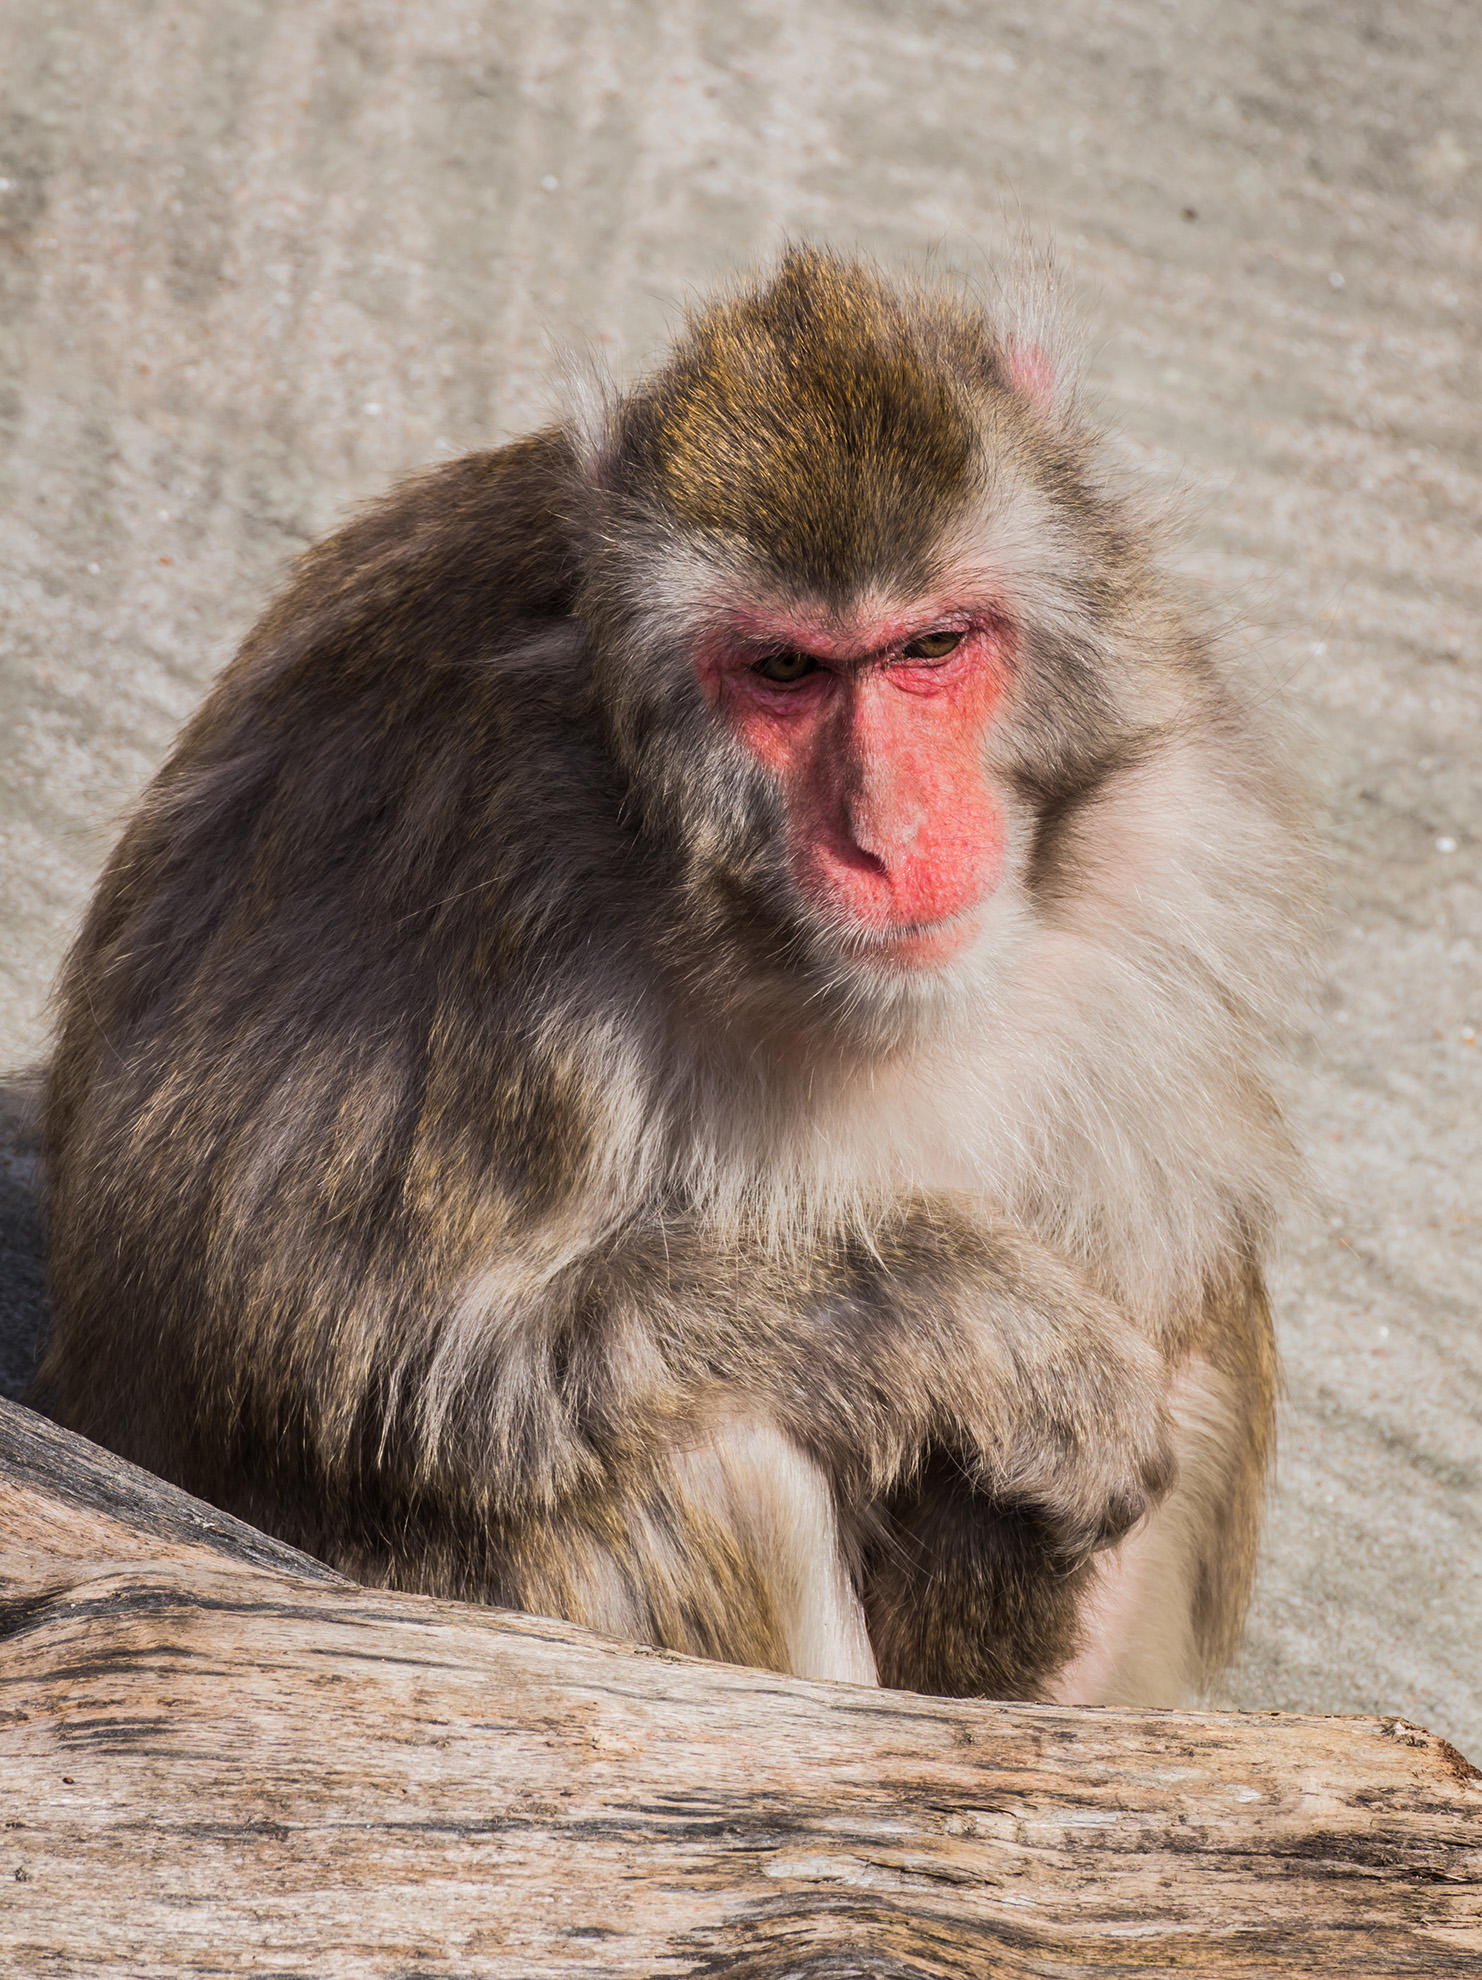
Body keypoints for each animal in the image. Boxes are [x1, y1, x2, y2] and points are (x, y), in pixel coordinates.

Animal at [37, 247, 1307, 1702]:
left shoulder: (1158, 860)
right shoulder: (479, 885)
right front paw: (963, 1315)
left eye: (931, 649)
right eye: (782, 671)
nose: (887, 839)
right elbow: (340, 1346)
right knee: (693, 1463)